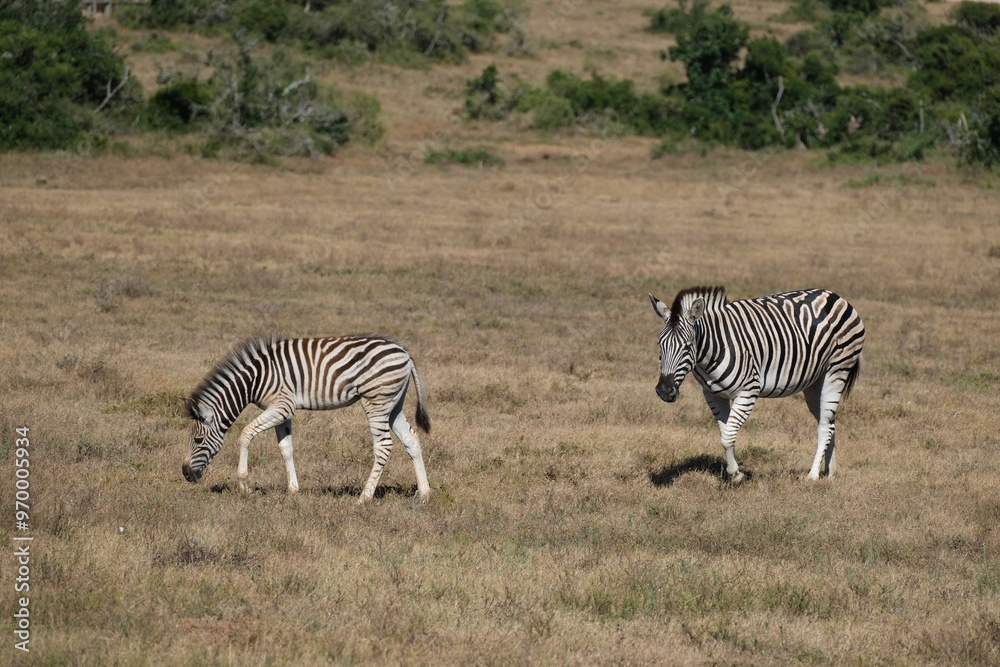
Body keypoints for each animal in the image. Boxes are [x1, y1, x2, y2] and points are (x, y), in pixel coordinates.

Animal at [182, 335, 431, 503]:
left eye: (198, 441)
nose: (185, 473)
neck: (254, 380)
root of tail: (405, 353)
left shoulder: (282, 406)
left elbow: (245, 434)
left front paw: (244, 485)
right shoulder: (283, 412)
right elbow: (286, 448)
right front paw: (293, 490)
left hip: (376, 400)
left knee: (383, 446)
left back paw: (364, 497)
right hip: (393, 404)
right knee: (411, 439)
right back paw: (424, 493)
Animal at [649, 286, 865, 482]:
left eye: (687, 346)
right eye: (660, 344)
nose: (664, 391)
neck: (712, 351)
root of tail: (835, 296)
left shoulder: (748, 391)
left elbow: (727, 436)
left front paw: (736, 475)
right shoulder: (713, 395)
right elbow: (725, 434)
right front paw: (734, 472)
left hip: (837, 370)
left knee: (824, 427)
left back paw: (812, 476)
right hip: (814, 382)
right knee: (829, 423)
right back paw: (830, 473)